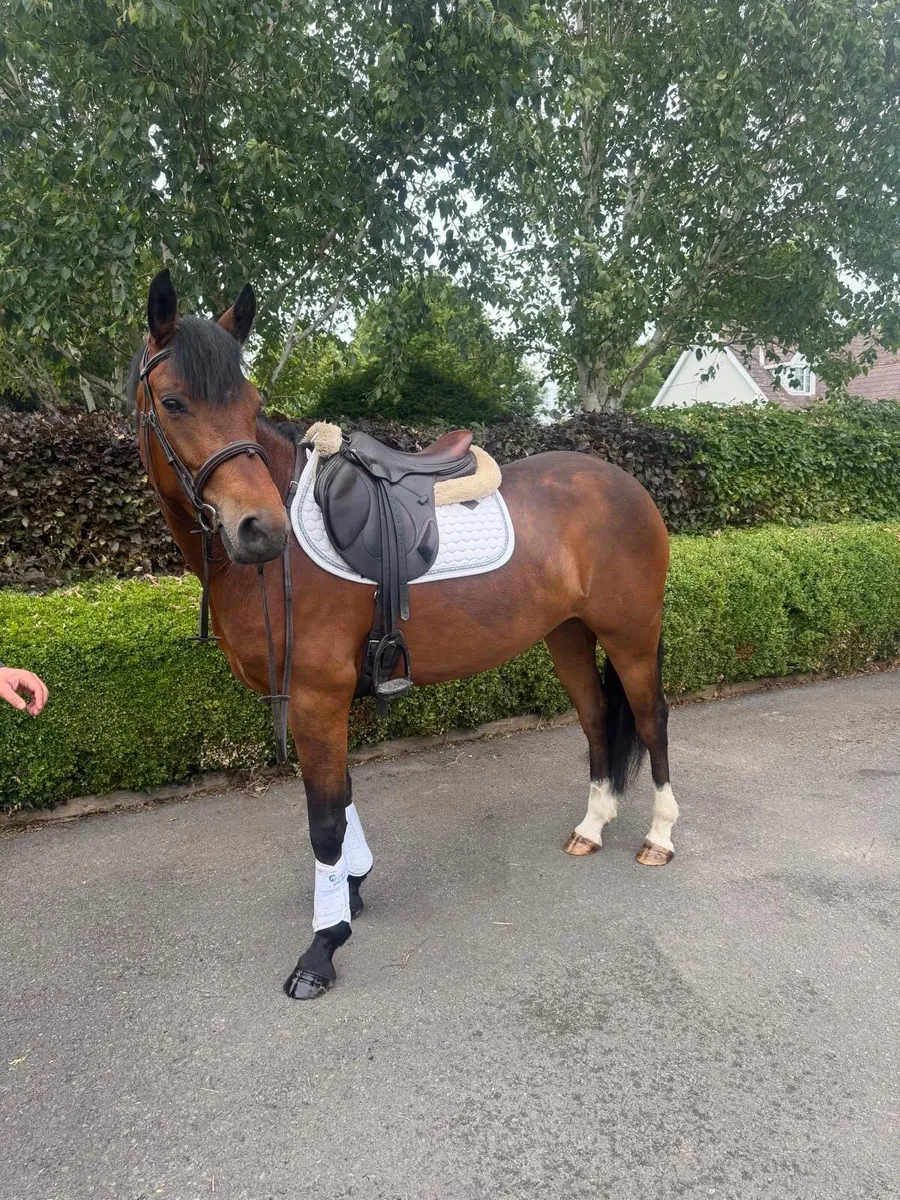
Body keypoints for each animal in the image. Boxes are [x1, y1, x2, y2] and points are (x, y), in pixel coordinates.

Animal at [129, 269, 678, 1001]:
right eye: (173, 402)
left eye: (251, 401)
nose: (261, 530)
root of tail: (626, 484)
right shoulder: (319, 703)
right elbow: (341, 802)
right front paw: (351, 889)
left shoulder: (318, 698)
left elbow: (324, 821)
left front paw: (323, 945)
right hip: (567, 634)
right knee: (595, 718)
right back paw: (591, 826)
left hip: (631, 634)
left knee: (649, 719)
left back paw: (661, 838)